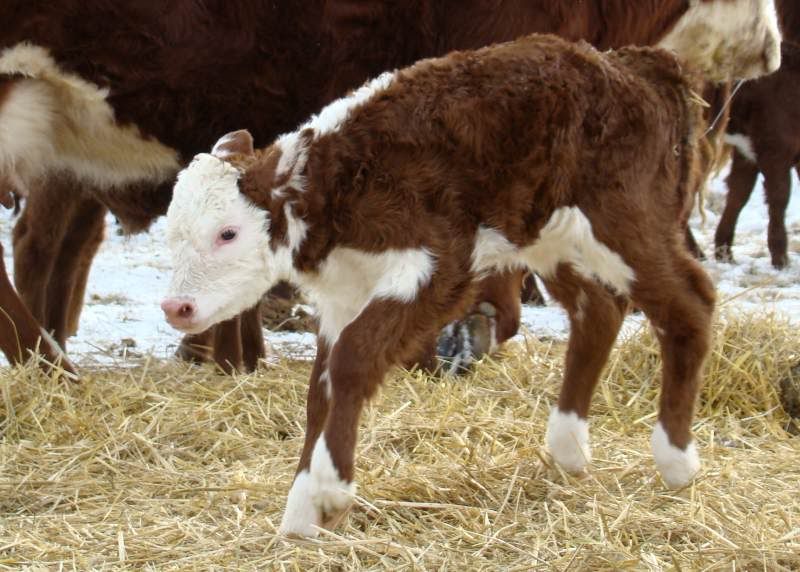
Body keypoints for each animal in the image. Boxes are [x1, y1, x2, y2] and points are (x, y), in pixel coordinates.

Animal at [161, 25, 777, 536]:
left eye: (227, 233)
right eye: (172, 233)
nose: (176, 308)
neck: (341, 183)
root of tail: (637, 65)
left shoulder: (442, 265)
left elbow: (354, 361)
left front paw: (330, 493)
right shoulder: (344, 294)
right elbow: (324, 387)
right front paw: (303, 511)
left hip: (626, 218)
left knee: (690, 301)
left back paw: (676, 460)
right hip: (548, 235)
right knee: (598, 311)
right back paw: (568, 448)